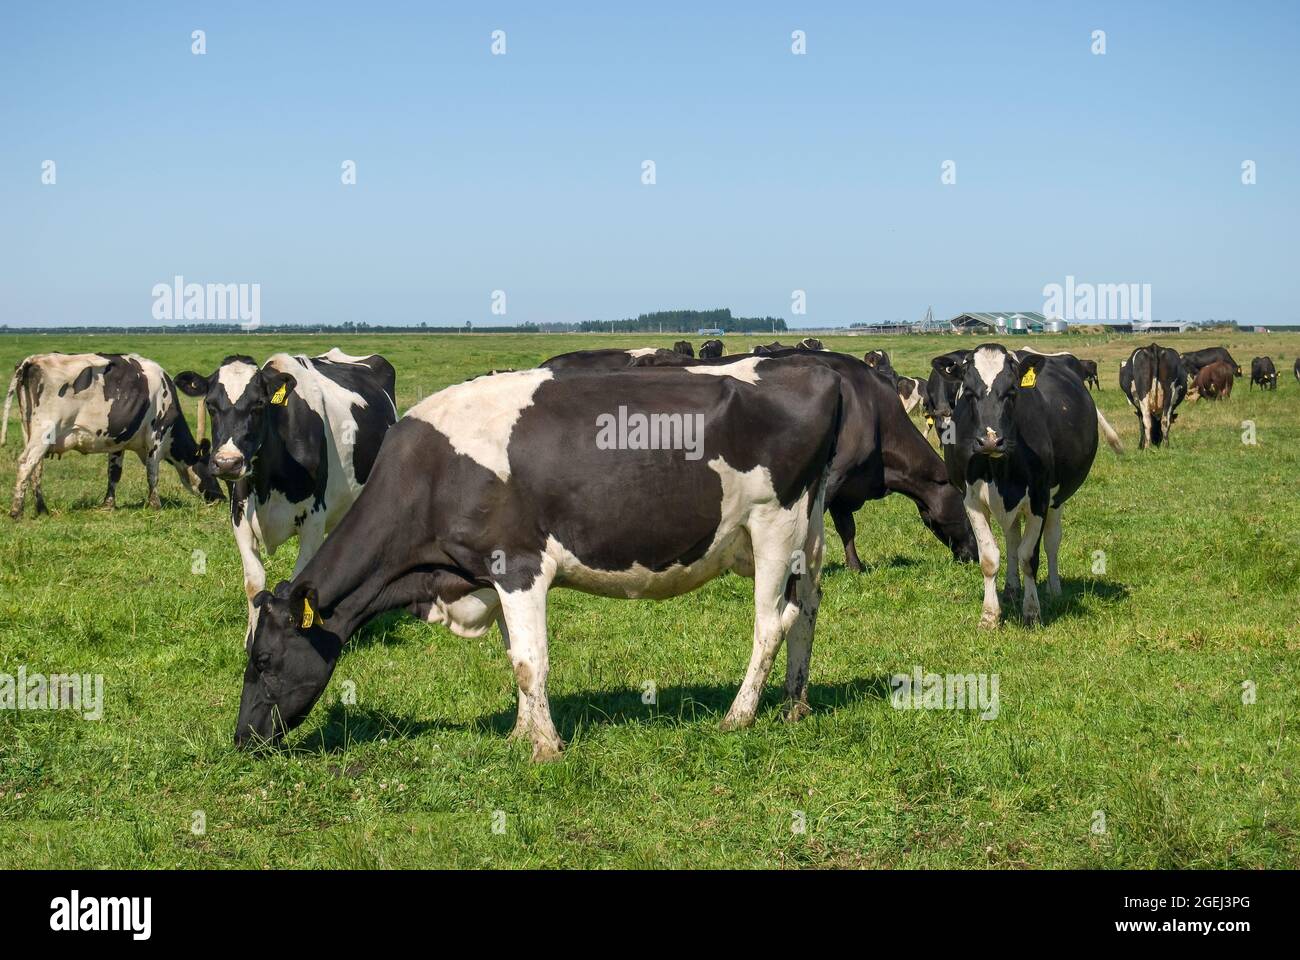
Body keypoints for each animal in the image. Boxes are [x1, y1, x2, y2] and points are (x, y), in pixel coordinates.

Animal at [4, 348, 223, 515]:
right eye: (210, 469)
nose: (220, 497)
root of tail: (34, 359)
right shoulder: (156, 437)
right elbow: (153, 473)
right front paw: (155, 504)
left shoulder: (118, 441)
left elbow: (114, 473)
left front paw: (108, 505)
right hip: (44, 430)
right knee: (26, 462)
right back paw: (16, 511)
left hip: (29, 430)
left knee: (36, 468)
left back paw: (42, 509)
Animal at [233, 361, 842, 759]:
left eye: (262, 659)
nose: (241, 740)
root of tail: (813, 370)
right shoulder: (487, 575)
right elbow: (515, 659)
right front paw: (521, 733)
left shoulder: (519, 565)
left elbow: (531, 662)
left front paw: (545, 747)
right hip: (802, 536)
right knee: (808, 608)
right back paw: (795, 703)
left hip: (774, 524)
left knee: (770, 623)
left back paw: (738, 716)